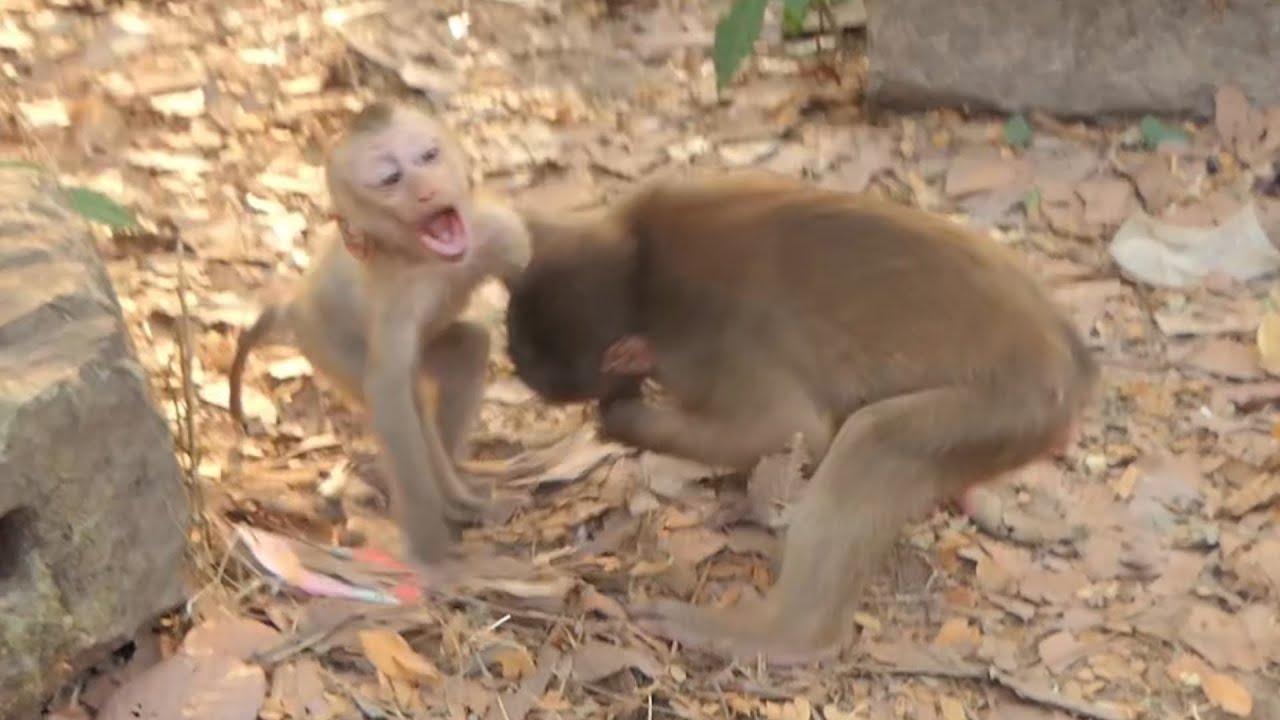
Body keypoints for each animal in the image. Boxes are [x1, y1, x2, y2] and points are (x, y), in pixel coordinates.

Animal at [228, 100, 534, 566]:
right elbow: (390, 397)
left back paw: (458, 481)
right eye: (391, 178)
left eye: (428, 156)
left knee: (467, 347)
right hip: (328, 347)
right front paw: (429, 546)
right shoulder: (397, 296)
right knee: (406, 401)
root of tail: (296, 303)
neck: (428, 260)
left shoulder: (496, 229)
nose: (428, 191)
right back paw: (454, 502)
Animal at [502, 170, 1098, 664]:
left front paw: (624, 420)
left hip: (1016, 403)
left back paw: (787, 635)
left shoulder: (706, 343)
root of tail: (1067, 361)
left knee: (874, 440)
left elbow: (790, 428)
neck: (641, 270)